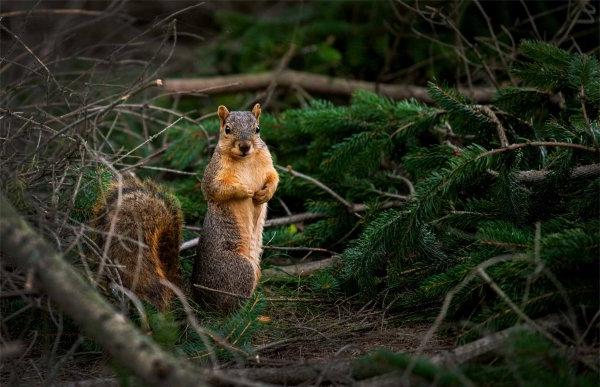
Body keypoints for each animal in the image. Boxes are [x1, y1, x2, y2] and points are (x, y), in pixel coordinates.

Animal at [192, 103, 278, 312]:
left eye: (258, 129)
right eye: (227, 129)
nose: (245, 146)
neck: (245, 159)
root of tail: (202, 300)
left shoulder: (268, 163)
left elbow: (274, 177)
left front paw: (265, 193)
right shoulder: (213, 175)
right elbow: (216, 189)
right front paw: (244, 190)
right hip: (239, 268)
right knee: (230, 308)